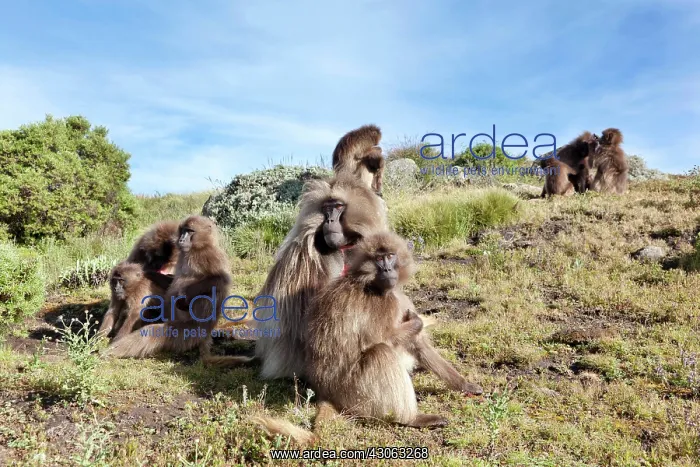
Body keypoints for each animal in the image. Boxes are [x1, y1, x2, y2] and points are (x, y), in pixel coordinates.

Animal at [105, 215, 250, 366]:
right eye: (183, 230)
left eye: (190, 231)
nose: (181, 240)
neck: (197, 248)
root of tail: (205, 335)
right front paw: (146, 273)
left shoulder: (209, 256)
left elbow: (220, 279)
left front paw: (182, 298)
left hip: (187, 332)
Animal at [251, 231, 482, 446]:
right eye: (379, 259)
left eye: (390, 256)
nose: (388, 270)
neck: (373, 284)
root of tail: (325, 392)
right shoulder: (382, 305)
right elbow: (380, 339)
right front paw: (417, 323)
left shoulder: (400, 299)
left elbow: (418, 344)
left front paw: (465, 385)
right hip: (352, 390)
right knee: (381, 352)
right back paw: (412, 419)